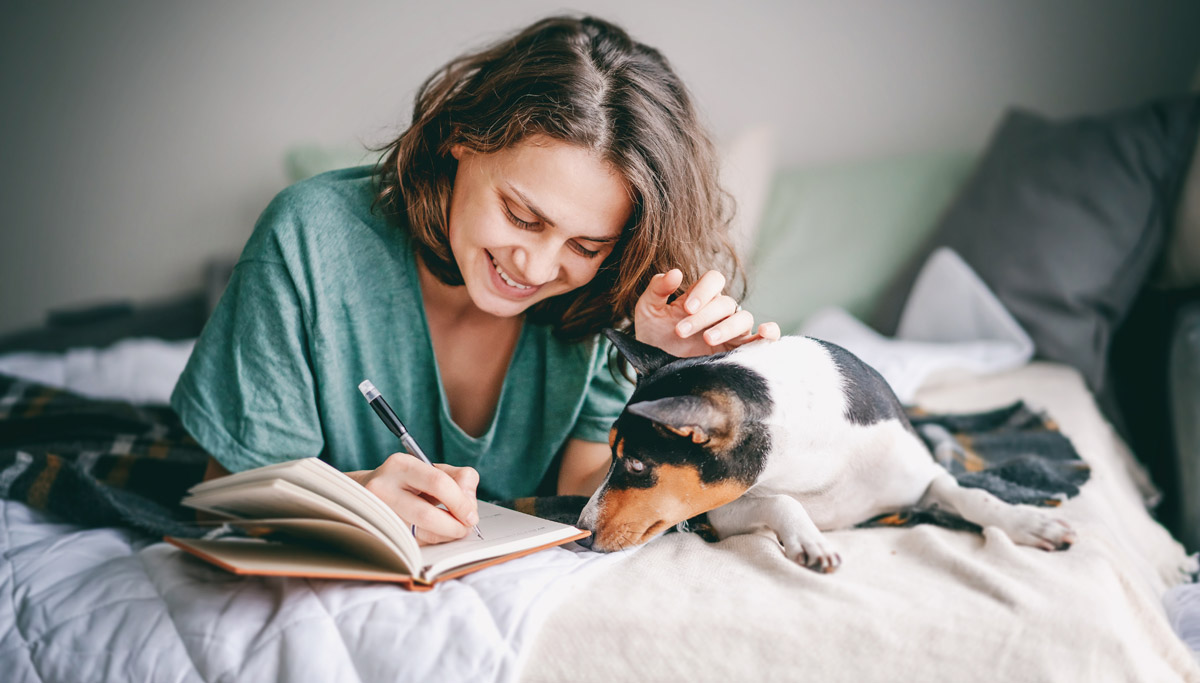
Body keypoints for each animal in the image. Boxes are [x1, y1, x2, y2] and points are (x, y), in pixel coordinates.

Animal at [576, 331, 1075, 568]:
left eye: (636, 464)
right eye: (612, 456)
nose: (579, 532)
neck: (816, 466)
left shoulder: (923, 478)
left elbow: (974, 496)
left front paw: (1029, 522)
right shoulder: (721, 509)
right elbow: (782, 502)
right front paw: (810, 540)